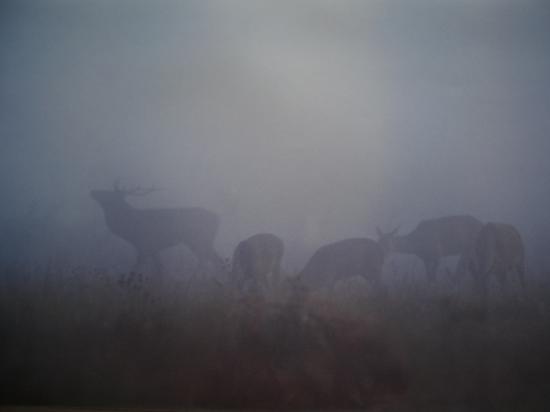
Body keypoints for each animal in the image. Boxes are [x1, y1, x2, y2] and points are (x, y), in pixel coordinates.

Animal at [89, 183, 223, 274]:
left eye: (108, 194)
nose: (93, 191)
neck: (129, 227)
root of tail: (218, 218)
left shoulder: (144, 245)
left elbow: (135, 271)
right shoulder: (153, 248)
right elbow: (160, 270)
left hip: (200, 240)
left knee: (208, 260)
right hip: (200, 242)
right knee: (215, 260)